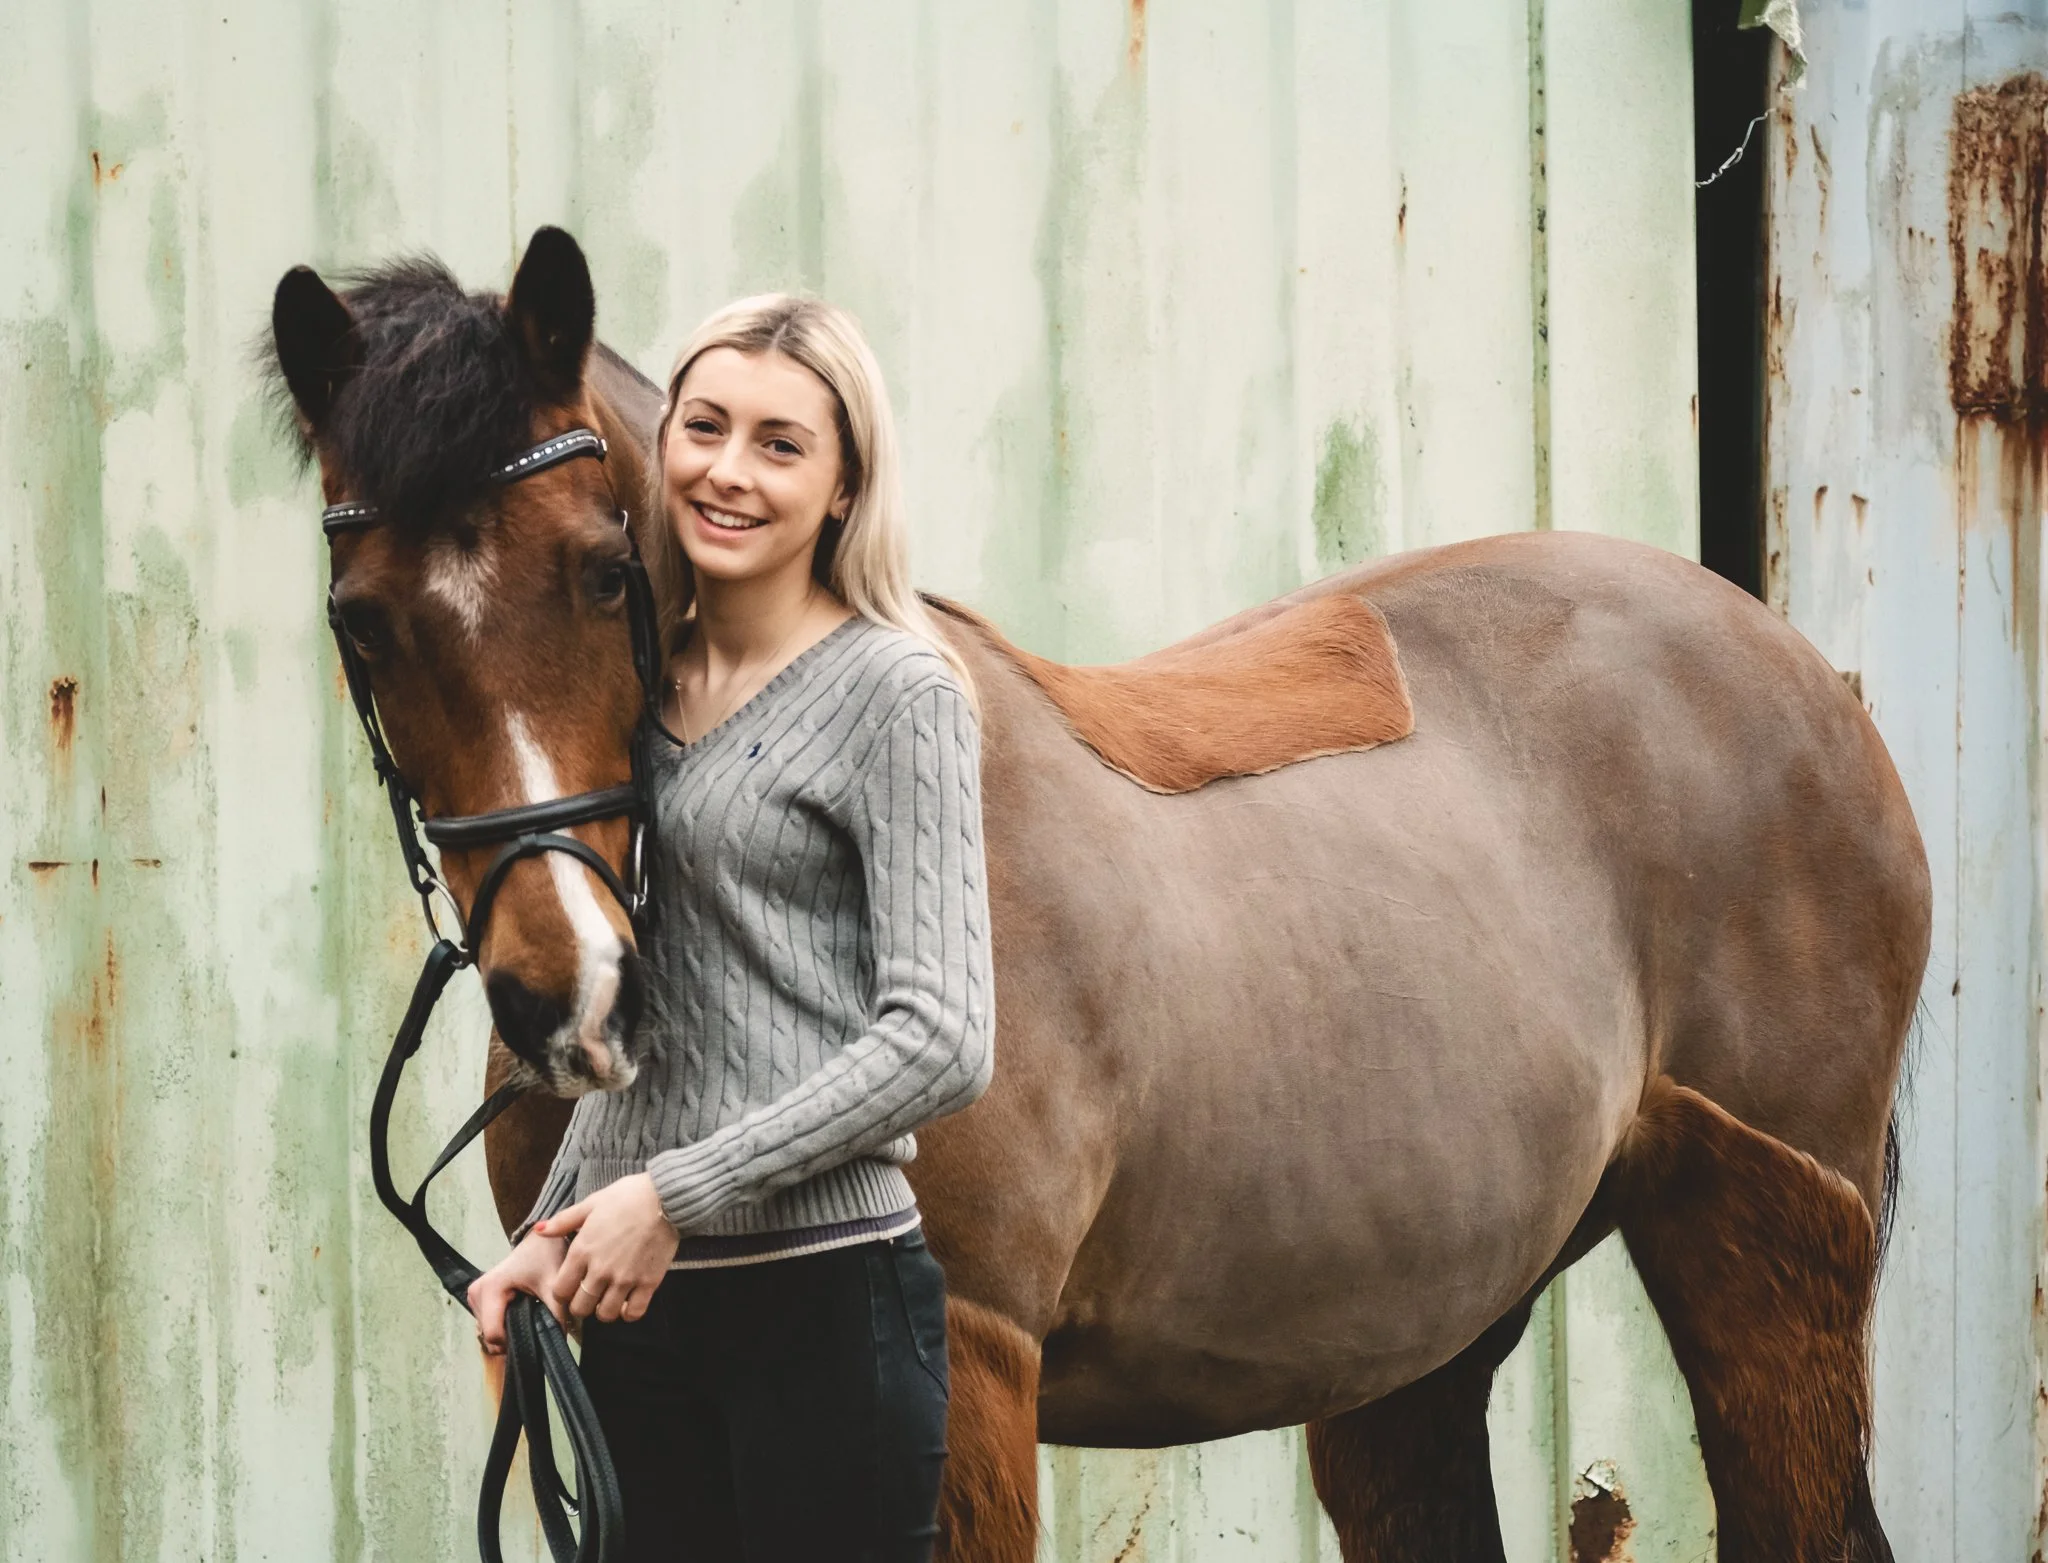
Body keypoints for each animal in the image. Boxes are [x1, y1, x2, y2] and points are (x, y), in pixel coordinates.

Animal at [271, 227, 1927, 1563]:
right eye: (362, 621)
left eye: (606, 570)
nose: (572, 991)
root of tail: (1797, 671)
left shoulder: (966, 1369)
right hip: (1419, 1336)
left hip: (1768, 1233)